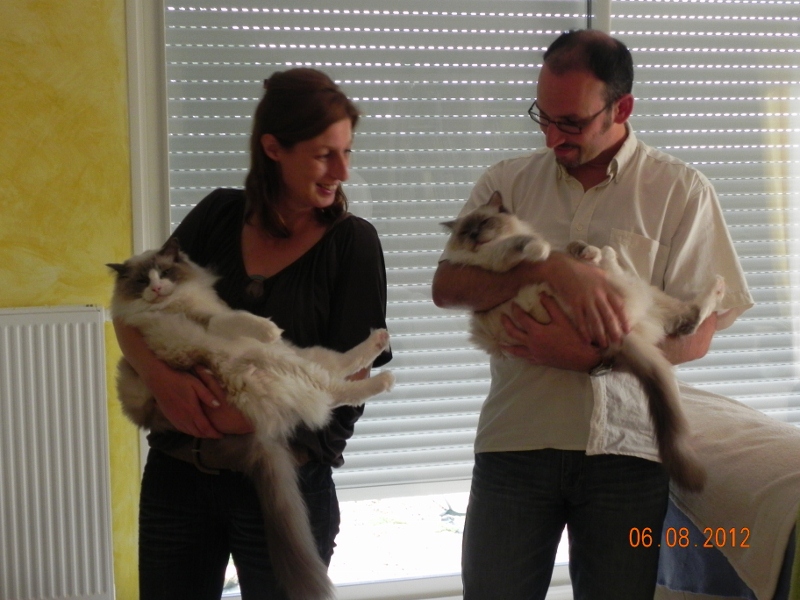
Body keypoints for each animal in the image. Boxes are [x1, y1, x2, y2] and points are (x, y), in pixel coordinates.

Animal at [106, 239, 394, 600]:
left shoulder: (214, 311)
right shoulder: (208, 321)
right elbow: (236, 320)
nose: (157, 288)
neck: (174, 303)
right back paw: (383, 379)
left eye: (165, 273)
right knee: (333, 391)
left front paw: (267, 327)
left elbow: (235, 315)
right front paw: (267, 328)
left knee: (341, 367)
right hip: (282, 363)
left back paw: (379, 340)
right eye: (143, 281)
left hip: (298, 356)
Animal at [440, 192, 728, 492]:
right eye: (465, 232)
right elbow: (522, 246)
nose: (474, 236)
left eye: (484, 223)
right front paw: (541, 251)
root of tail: (624, 335)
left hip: (649, 294)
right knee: (688, 320)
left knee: (685, 316)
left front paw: (578, 249)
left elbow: (563, 247)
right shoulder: (495, 260)